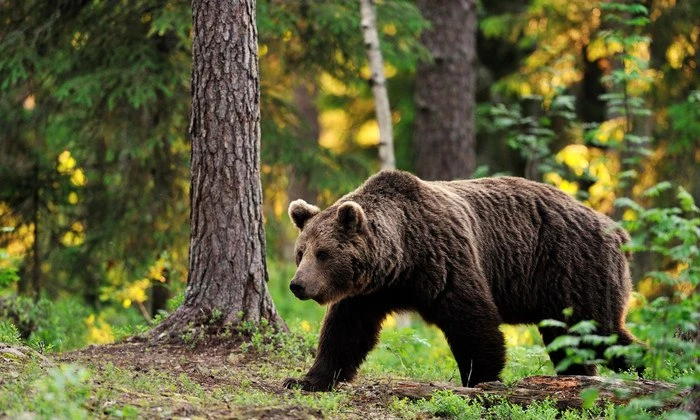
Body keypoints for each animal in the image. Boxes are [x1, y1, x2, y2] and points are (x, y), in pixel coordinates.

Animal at [283, 170, 638, 391]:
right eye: (301, 253)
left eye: (323, 253)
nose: (297, 285)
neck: (401, 259)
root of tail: (617, 230)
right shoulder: (368, 292)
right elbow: (345, 333)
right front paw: (306, 380)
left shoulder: (445, 260)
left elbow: (473, 322)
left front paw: (479, 379)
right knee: (572, 342)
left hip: (573, 269)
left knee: (598, 332)